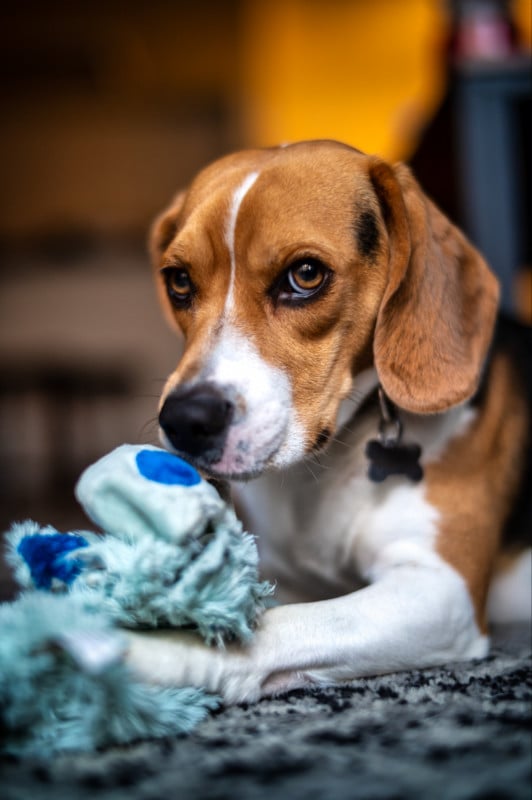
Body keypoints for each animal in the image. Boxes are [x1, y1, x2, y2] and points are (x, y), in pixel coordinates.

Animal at [125, 141, 532, 704]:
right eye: (179, 280)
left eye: (306, 275)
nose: (185, 420)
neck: (334, 457)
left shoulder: (440, 591)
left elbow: (271, 628)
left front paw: (138, 650)